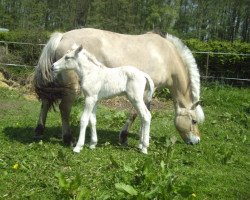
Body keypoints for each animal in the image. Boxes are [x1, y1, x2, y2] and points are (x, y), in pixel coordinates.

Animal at [33, 27, 205, 146]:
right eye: (194, 121)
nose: (196, 141)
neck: (165, 56)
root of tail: (62, 36)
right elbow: (136, 112)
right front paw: (125, 137)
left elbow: (146, 112)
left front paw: (143, 137)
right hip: (71, 88)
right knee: (64, 108)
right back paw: (68, 139)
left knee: (46, 102)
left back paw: (39, 131)